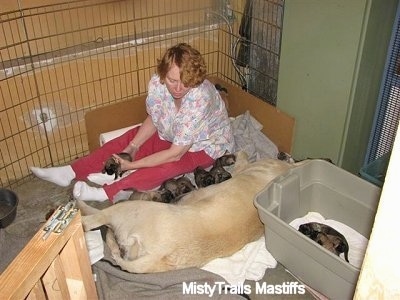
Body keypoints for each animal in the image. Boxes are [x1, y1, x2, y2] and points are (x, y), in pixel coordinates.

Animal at [78, 152, 296, 274]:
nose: (283, 153)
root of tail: (157, 255)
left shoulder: (243, 167)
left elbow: (242, 155)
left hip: (130, 209)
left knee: (95, 219)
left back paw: (79, 207)